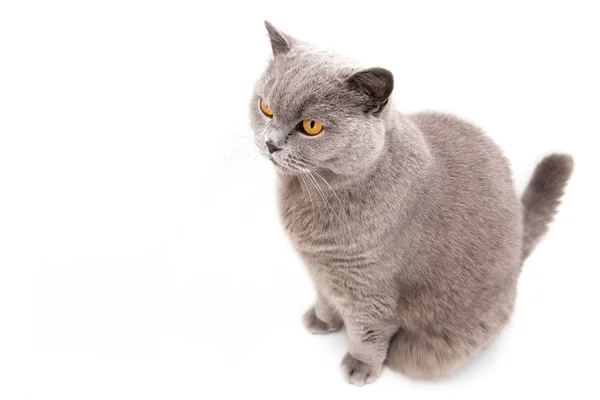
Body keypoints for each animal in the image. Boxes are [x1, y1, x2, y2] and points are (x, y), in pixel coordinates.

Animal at [247, 21, 572, 384]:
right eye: (265, 108)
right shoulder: (320, 270)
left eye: (311, 126)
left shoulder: (369, 284)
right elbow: (325, 297)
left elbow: (367, 329)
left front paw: (360, 366)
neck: (312, 194)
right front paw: (321, 320)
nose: (271, 143)